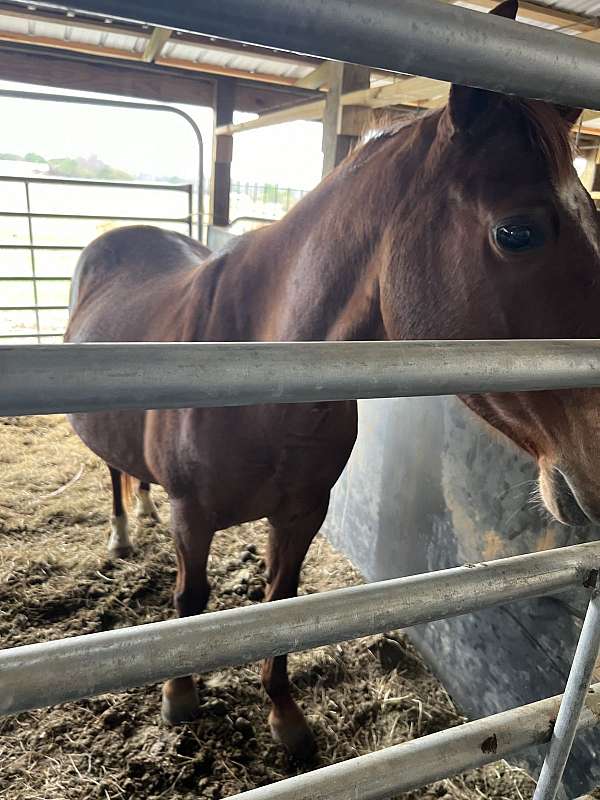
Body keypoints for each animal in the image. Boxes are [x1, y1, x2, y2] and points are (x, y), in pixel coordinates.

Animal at [64, 0, 600, 760]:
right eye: (516, 232)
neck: (261, 385)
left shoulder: (302, 513)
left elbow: (280, 606)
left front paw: (285, 716)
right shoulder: (193, 515)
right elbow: (190, 607)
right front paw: (179, 696)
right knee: (113, 470)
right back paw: (120, 532)